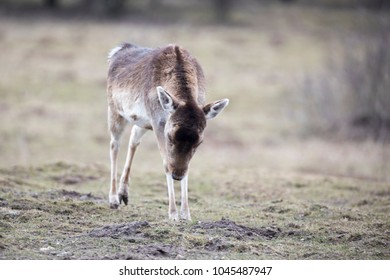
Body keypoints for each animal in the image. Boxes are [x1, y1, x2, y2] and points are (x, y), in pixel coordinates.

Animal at [106, 42, 229, 221]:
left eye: (199, 142)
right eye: (170, 137)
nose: (177, 175)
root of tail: (118, 49)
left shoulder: (155, 121)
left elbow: (187, 167)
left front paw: (186, 213)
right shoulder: (159, 122)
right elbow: (166, 164)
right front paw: (173, 213)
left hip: (143, 121)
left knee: (133, 138)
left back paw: (124, 194)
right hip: (115, 109)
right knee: (114, 145)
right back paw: (114, 199)